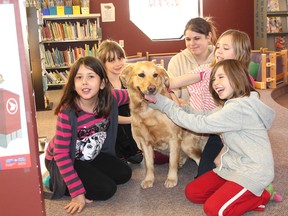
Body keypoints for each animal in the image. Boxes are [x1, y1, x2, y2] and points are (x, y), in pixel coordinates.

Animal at [120, 61, 208, 189]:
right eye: (141, 75)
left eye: (155, 75)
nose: (152, 89)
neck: (148, 110)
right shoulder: (145, 143)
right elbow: (149, 165)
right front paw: (149, 179)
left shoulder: (174, 138)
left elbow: (172, 162)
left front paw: (171, 178)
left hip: (187, 145)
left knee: (199, 158)